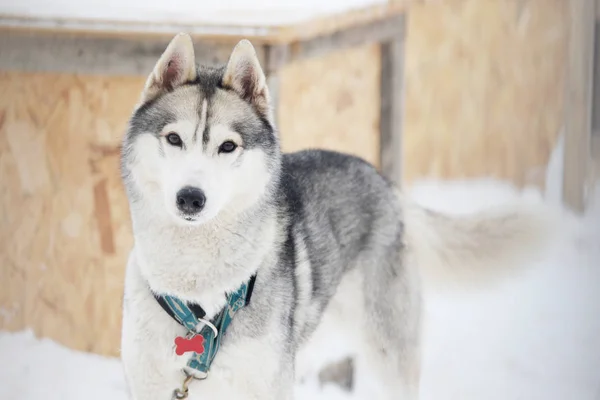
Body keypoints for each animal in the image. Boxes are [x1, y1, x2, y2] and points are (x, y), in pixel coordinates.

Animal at [119, 32, 556, 398]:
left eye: (228, 147)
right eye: (174, 139)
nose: (190, 198)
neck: (198, 299)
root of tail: (381, 179)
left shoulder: (266, 383)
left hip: (387, 354)